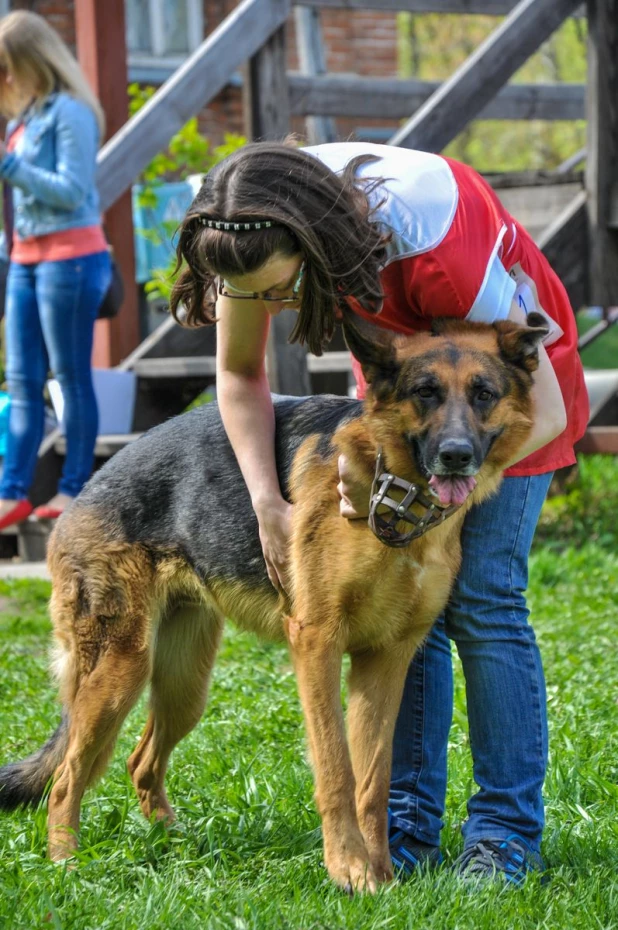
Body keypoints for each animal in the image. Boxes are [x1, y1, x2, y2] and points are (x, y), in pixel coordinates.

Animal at [0, 314, 548, 892]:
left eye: (484, 394)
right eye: (425, 392)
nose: (456, 455)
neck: (394, 494)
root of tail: (82, 491)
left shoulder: (386, 660)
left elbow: (373, 783)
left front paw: (381, 875)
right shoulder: (317, 645)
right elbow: (336, 769)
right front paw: (349, 870)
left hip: (184, 686)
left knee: (140, 760)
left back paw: (175, 846)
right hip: (120, 670)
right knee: (67, 778)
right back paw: (66, 866)